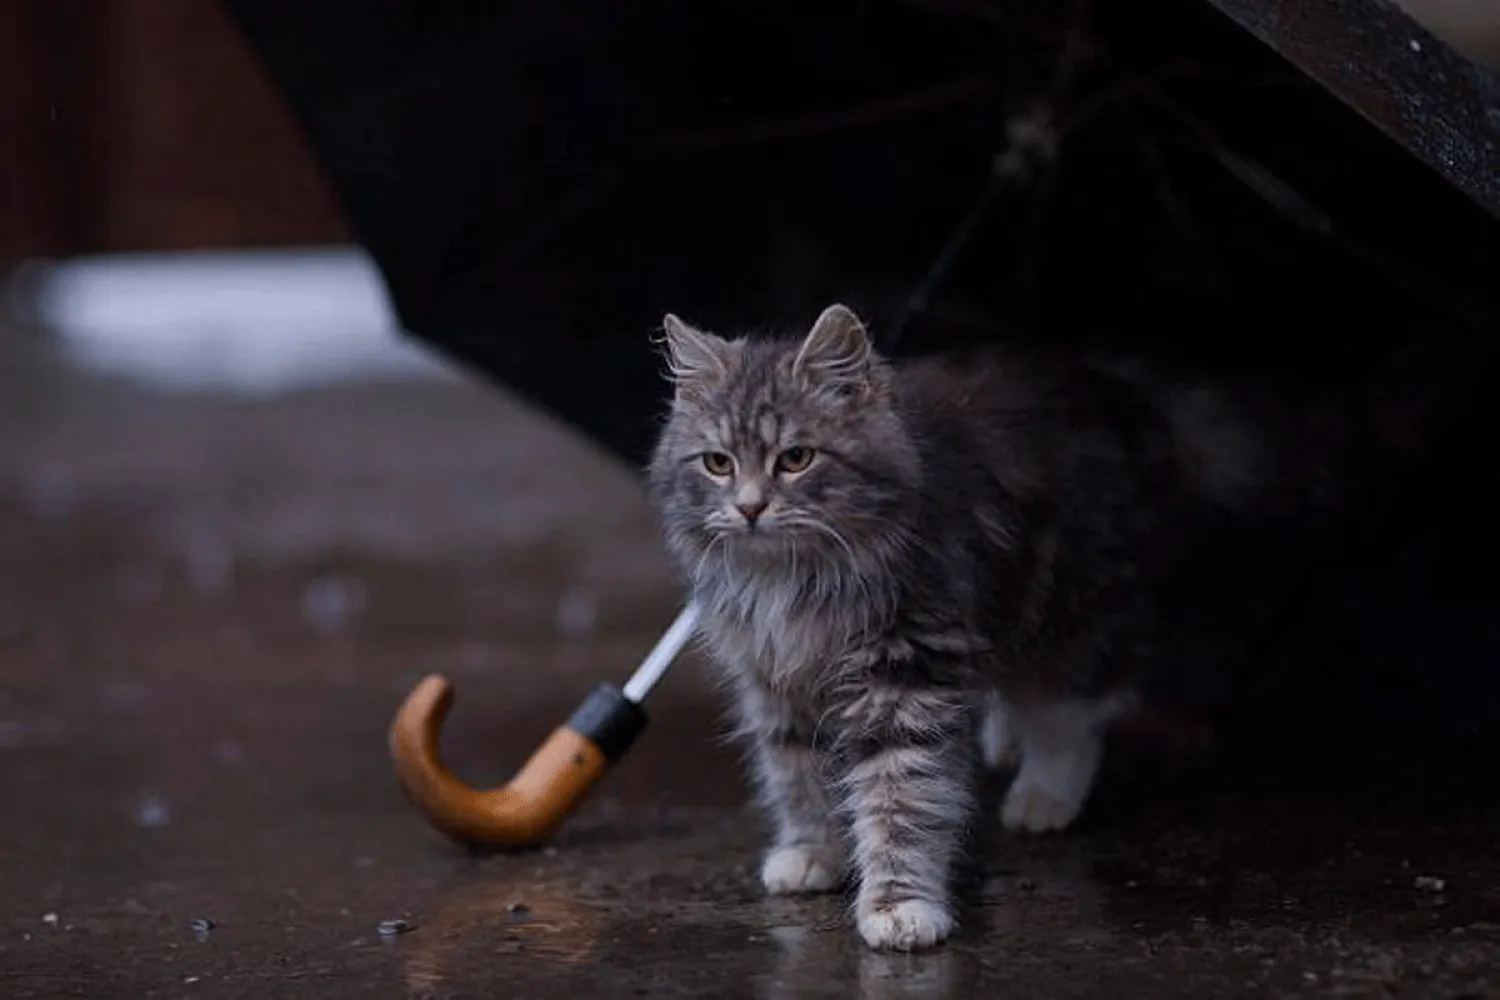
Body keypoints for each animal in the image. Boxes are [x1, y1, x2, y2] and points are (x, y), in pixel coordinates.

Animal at [642, 302, 1362, 953]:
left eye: (795, 458)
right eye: (717, 464)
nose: (750, 507)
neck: (792, 581)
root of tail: (1129, 391)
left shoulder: (904, 675)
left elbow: (901, 799)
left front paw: (899, 907)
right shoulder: (777, 680)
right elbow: (797, 777)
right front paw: (813, 852)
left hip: (1076, 609)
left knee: (1071, 711)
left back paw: (1042, 797)